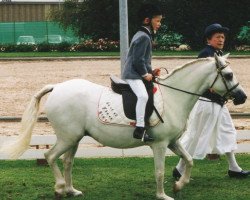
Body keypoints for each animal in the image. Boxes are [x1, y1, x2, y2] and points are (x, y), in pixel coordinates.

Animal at [0, 54, 246, 199]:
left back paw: (71, 190)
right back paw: (60, 187)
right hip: (67, 138)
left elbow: (189, 159)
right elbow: (159, 171)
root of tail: (57, 87)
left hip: (75, 138)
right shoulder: (160, 145)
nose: (242, 97)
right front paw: (163, 195)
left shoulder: (173, 142)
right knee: (50, 156)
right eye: (228, 74)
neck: (173, 96)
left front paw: (179, 185)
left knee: (67, 161)